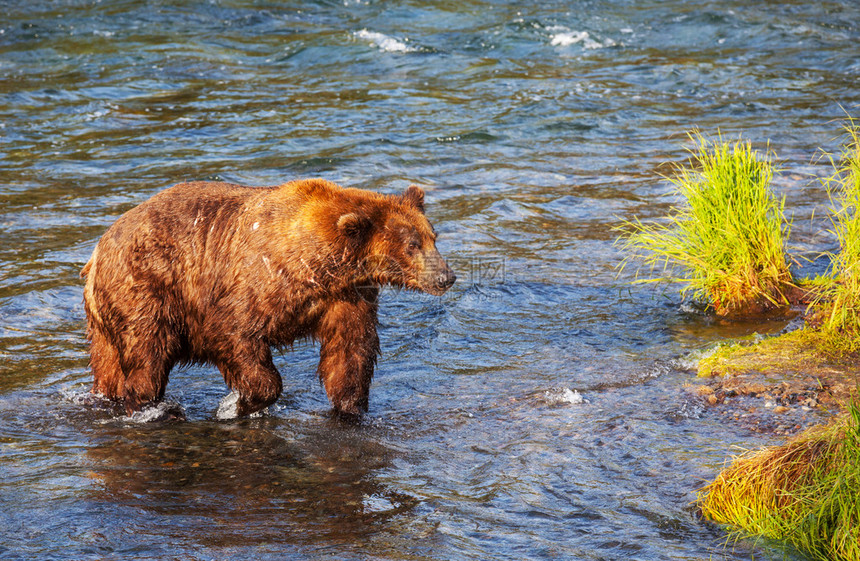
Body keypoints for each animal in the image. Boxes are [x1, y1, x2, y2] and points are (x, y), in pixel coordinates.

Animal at [81, 178, 456, 416]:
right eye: (412, 245)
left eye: (432, 236)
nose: (445, 276)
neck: (323, 262)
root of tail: (98, 250)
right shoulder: (259, 281)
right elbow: (234, 333)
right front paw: (239, 404)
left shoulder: (345, 296)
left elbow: (351, 351)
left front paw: (352, 407)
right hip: (147, 285)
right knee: (148, 349)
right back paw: (153, 406)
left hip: (106, 320)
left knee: (109, 365)